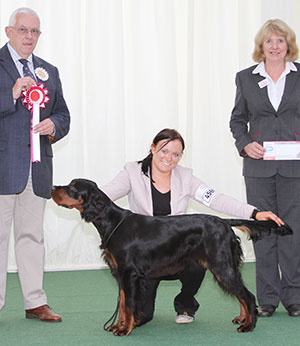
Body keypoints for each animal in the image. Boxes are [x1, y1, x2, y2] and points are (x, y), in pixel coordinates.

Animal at [51, 178, 292, 336]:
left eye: (73, 187)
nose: (52, 187)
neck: (112, 221)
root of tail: (224, 222)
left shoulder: (130, 274)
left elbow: (128, 305)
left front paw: (125, 329)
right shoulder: (121, 274)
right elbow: (123, 302)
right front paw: (118, 325)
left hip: (221, 266)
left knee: (247, 295)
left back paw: (249, 326)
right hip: (225, 266)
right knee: (241, 293)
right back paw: (242, 318)